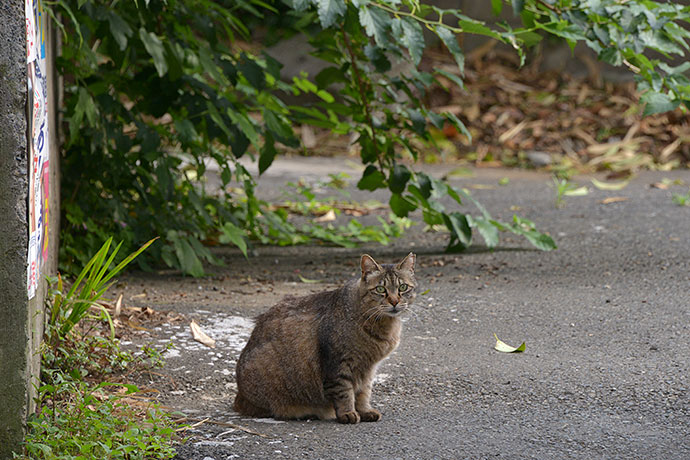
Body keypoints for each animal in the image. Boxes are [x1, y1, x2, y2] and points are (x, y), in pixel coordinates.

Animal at [232, 253, 414, 422]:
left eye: (403, 287)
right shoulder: (338, 364)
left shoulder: (368, 368)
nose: (394, 301)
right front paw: (348, 413)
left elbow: (364, 392)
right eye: (381, 289)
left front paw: (364, 411)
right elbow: (344, 392)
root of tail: (239, 395)